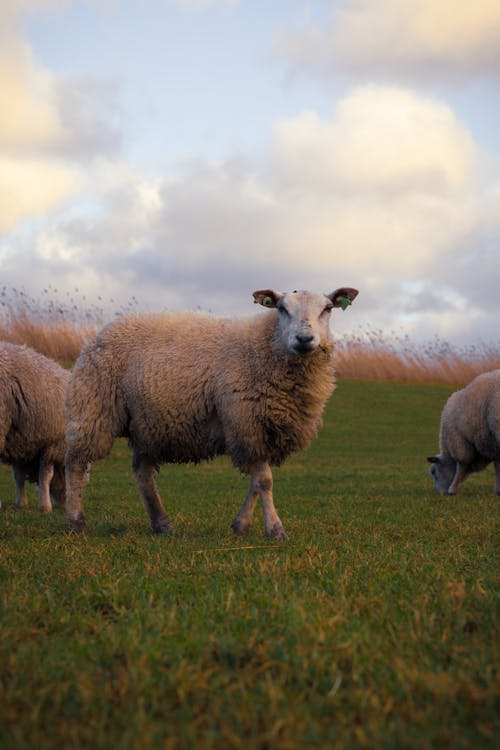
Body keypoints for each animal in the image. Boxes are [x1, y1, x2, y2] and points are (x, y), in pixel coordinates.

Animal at [0, 344, 69, 516]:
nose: (64, 504)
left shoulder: (17, 444)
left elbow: (18, 476)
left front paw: (21, 503)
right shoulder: (52, 443)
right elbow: (46, 476)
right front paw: (45, 507)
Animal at [65, 284, 360, 536]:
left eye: (327, 308)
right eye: (282, 308)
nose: (304, 338)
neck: (265, 345)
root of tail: (100, 333)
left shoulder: (262, 431)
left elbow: (255, 482)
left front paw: (241, 525)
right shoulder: (245, 422)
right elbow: (264, 480)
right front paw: (275, 529)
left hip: (147, 424)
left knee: (142, 472)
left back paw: (161, 523)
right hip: (94, 407)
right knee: (76, 463)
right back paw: (76, 521)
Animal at [426, 368, 500, 496]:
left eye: (433, 472)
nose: (441, 494)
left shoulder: (461, 443)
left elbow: (461, 466)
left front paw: (452, 489)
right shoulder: (492, 444)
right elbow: (498, 467)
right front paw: (498, 490)